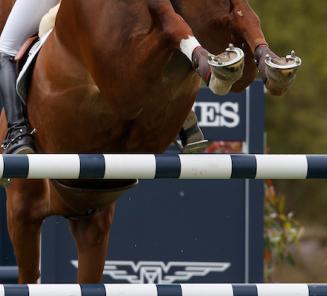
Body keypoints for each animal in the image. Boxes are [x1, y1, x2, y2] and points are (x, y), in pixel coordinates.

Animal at [0, 0, 302, 284]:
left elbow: (242, 15)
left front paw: (273, 65)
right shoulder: (125, 81)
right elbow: (170, 23)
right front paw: (214, 63)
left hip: (92, 220)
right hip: (23, 210)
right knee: (29, 275)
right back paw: (20, 141)